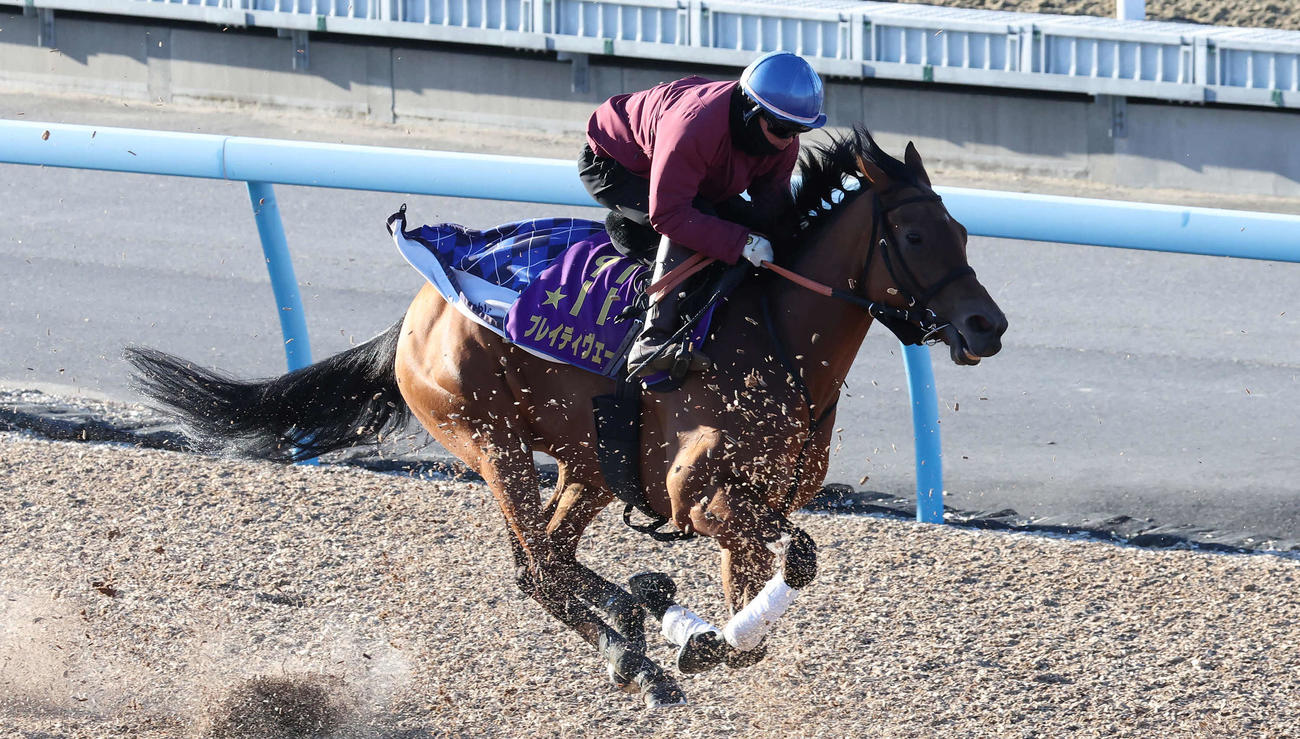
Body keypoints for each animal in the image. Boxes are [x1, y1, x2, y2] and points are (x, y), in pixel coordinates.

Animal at [125, 128, 1007, 708]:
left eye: (964, 229)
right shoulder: (702, 497)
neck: (776, 340)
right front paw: (689, 634)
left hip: (589, 462)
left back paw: (638, 615)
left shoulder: (757, 498)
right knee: (540, 566)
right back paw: (638, 645)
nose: (987, 326)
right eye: (916, 234)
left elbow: (770, 598)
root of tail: (413, 313)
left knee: (542, 557)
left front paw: (699, 632)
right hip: (490, 440)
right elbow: (792, 559)